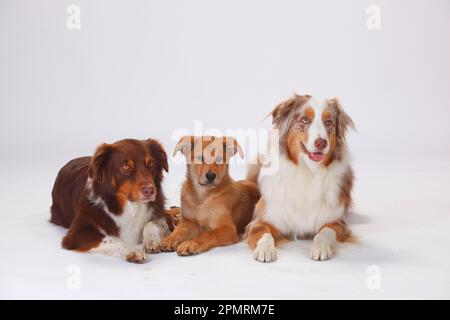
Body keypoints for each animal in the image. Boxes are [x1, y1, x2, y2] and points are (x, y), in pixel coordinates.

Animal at [246, 94, 356, 262]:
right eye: (305, 120)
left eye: (328, 122)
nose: (321, 143)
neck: (308, 172)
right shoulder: (259, 221)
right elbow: (263, 233)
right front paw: (265, 249)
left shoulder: (337, 222)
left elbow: (325, 232)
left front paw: (320, 247)